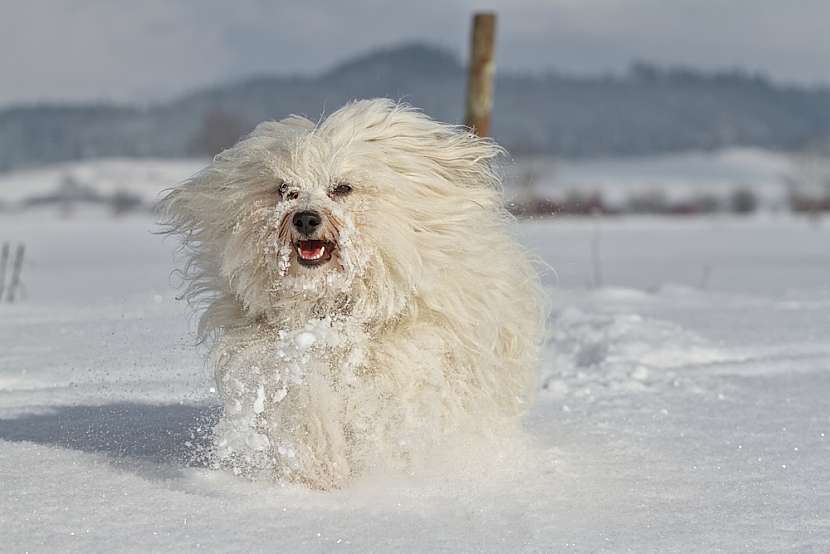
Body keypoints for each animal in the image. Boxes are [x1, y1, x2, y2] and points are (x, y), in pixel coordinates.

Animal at [162, 100, 544, 488]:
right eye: (285, 189)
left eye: (342, 188)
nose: (305, 218)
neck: (331, 307)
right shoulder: (276, 355)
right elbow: (303, 402)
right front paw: (319, 468)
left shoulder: (411, 358)